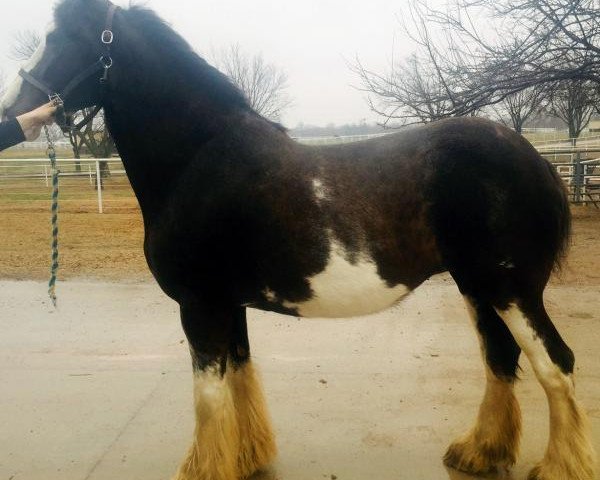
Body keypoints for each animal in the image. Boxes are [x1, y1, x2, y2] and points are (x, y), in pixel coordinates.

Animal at [1, 0, 596, 480]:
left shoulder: (199, 305)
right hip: (476, 287)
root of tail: (537, 161)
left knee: (555, 365)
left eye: (65, 36)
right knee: (501, 358)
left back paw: (556, 467)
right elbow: (240, 378)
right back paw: (479, 453)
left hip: (511, 289)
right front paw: (248, 458)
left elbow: (209, 397)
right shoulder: (227, 305)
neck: (201, 158)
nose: (13, 111)